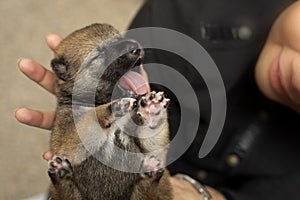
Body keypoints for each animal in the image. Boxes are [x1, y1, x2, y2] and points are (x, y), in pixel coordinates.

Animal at [47, 22, 172, 199]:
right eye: (99, 54)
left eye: (119, 38)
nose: (134, 46)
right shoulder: (67, 142)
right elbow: (89, 118)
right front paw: (113, 107)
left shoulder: (153, 147)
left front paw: (152, 110)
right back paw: (61, 173)